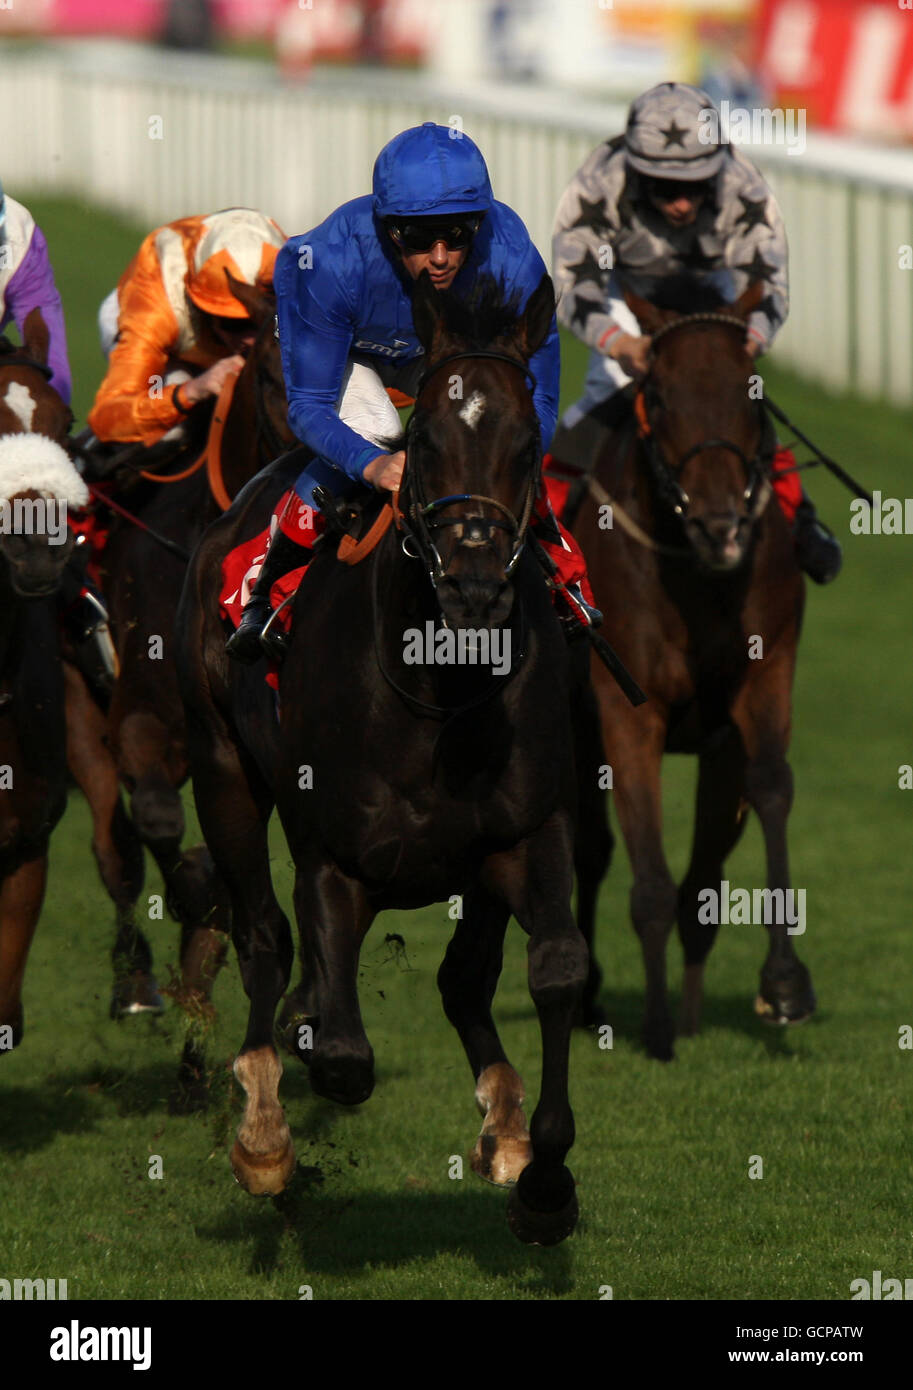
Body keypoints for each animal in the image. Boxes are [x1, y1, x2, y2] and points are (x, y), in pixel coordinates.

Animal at [177, 273, 591, 1251]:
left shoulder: (521, 832)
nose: (474, 584)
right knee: (261, 935)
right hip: (223, 769)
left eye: (528, 445)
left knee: (460, 979)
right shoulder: (335, 860)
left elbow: (551, 971)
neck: (434, 688)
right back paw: (263, 1122)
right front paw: (276, 1120)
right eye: (427, 442)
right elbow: (342, 1056)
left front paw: (541, 1176)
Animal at [572, 284, 817, 1061]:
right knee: (587, 850)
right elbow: (647, 877)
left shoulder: (758, 683)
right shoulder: (627, 710)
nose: (720, 527)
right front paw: (655, 1032)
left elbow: (769, 790)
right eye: (660, 394)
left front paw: (783, 984)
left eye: (752, 392)